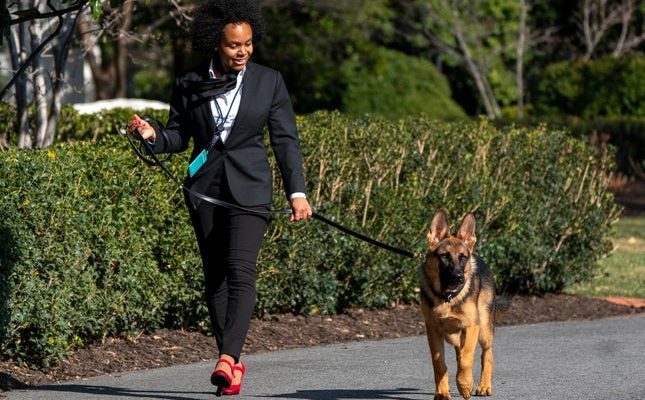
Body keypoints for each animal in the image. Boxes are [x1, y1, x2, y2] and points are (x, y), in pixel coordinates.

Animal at [420, 209, 496, 400]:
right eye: (444, 256)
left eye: (463, 257)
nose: (459, 277)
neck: (447, 297)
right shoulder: (433, 331)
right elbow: (439, 363)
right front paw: (442, 391)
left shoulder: (471, 326)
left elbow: (466, 357)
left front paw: (465, 384)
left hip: (484, 330)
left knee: (487, 354)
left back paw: (484, 386)